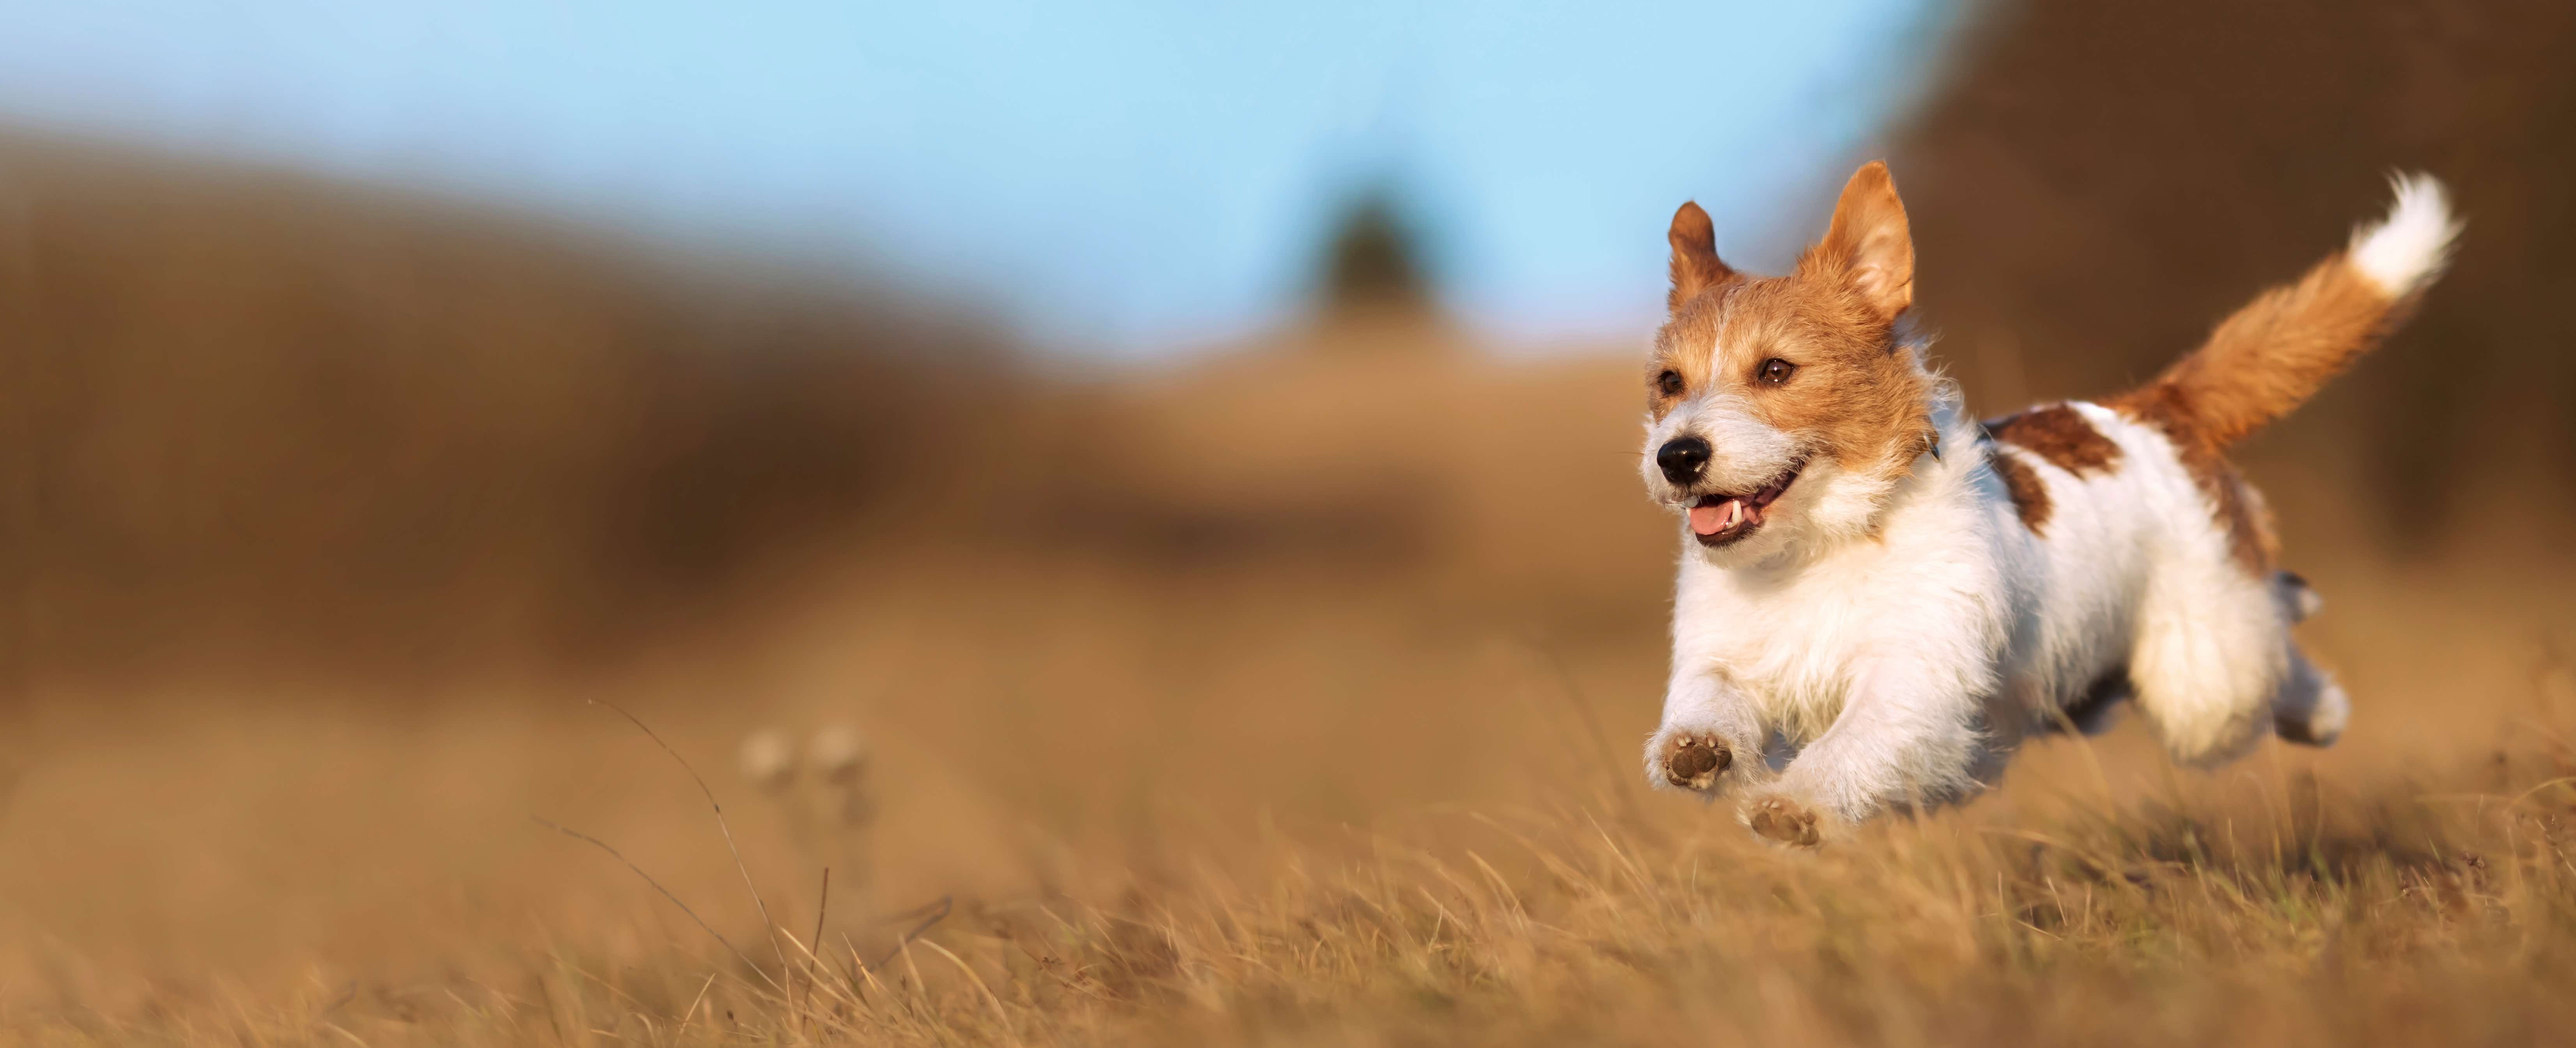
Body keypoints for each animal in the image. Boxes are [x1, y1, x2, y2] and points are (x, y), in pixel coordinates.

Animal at [1638, 166, 2463, 855]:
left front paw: (1797, 804)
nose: (1678, 456)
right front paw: (1698, 748)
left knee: (2272, 647)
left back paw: (2320, 707)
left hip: (2204, 682)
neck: (1820, 544)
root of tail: (2154, 406)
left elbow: (1857, 738)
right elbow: (1709, 698)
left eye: (1777, 370)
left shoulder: (1913, 675)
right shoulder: (1728, 654)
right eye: (1670, 381)